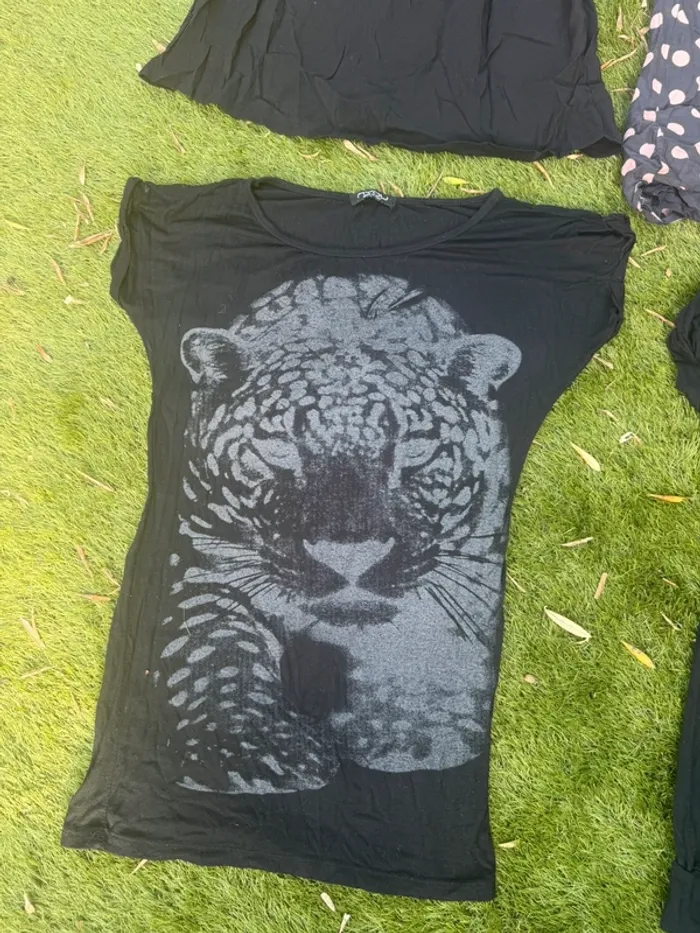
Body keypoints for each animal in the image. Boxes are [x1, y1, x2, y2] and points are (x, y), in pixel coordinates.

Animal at [152, 274, 521, 795]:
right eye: (278, 448)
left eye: (414, 448)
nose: (349, 556)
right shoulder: (202, 564)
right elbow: (214, 648)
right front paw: (253, 751)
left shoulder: (473, 586)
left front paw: (414, 734)